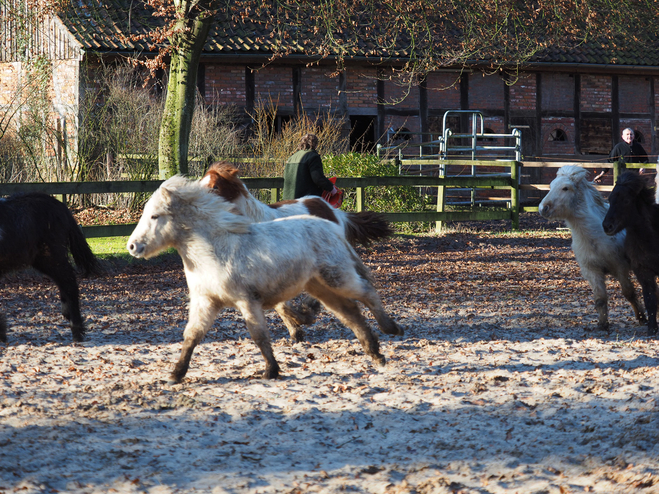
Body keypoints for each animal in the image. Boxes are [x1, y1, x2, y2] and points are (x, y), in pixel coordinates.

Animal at [0, 193, 99, 344]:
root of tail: (60, 206)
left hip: (51, 256)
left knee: (69, 282)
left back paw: (76, 329)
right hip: (43, 260)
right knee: (64, 281)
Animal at [124, 176, 402, 384]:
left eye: (155, 216)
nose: (132, 246)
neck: (215, 249)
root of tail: (333, 225)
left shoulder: (246, 300)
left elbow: (258, 335)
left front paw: (271, 371)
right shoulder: (206, 302)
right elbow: (192, 336)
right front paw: (175, 374)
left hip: (337, 278)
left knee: (367, 293)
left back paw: (391, 329)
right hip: (320, 287)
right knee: (349, 312)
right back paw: (375, 353)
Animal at [540, 166, 644, 332]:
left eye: (565, 188)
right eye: (551, 186)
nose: (543, 208)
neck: (595, 235)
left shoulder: (620, 267)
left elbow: (629, 292)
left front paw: (642, 318)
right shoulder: (592, 271)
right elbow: (600, 299)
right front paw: (603, 324)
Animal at [604, 172, 659, 338]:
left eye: (626, 200)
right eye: (610, 199)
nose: (607, 226)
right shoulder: (643, 272)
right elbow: (650, 299)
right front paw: (652, 328)